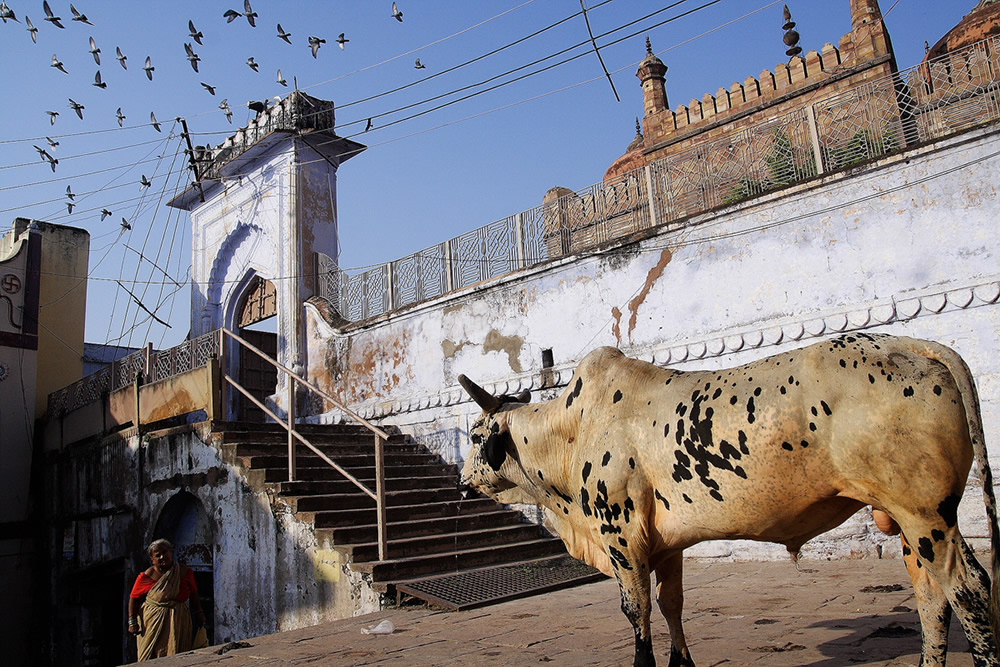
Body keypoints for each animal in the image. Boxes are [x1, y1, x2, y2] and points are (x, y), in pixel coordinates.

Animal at [458, 334, 1000, 667]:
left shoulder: (622, 538)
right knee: (932, 598)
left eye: (476, 434)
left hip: (925, 515)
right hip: (910, 521)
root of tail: (911, 345)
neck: (571, 431)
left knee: (968, 589)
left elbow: (638, 612)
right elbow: (672, 605)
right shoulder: (666, 545)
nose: (463, 481)